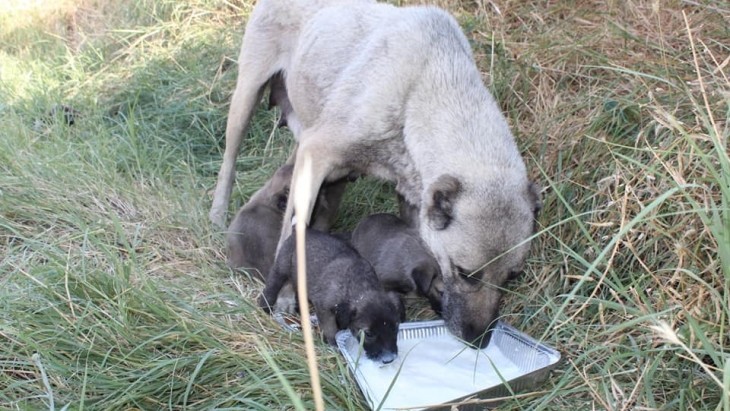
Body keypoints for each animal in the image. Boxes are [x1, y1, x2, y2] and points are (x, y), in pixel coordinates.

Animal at [208, 0, 536, 348]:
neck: (422, 89)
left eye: (512, 277)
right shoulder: (316, 153)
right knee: (229, 163)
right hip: (246, 100)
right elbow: (290, 240)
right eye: (465, 273)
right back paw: (217, 215)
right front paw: (285, 295)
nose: (479, 340)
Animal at [258, 230, 400, 366]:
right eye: (369, 334)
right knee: (270, 289)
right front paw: (333, 344)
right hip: (280, 270)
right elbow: (330, 329)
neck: (359, 285)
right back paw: (264, 308)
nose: (389, 360)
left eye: (395, 328)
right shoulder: (325, 310)